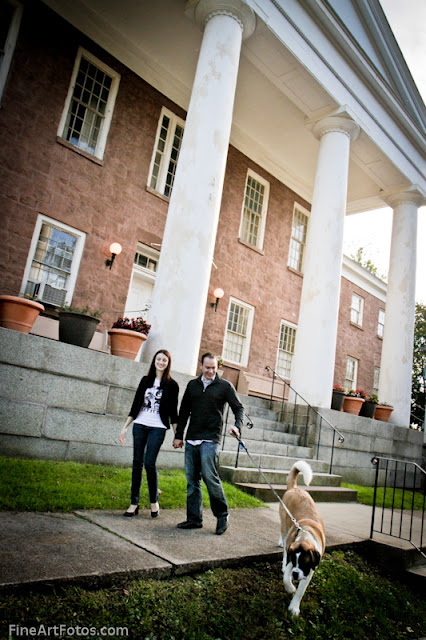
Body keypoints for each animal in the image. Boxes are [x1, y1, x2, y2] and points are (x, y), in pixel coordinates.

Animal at [278, 460, 325, 616]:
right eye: (294, 560)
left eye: (304, 562)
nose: (295, 573)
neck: (305, 535)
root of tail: (295, 488)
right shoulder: (291, 558)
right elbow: (286, 577)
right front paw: (290, 588)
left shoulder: (310, 570)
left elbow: (301, 590)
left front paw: (294, 607)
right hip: (284, 523)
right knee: (283, 539)